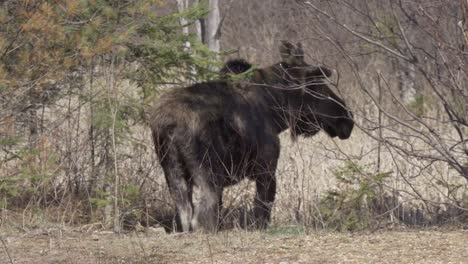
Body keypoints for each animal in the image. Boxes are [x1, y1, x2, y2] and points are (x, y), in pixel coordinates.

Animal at [148, 40, 352, 232]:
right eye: (316, 86)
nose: (347, 118)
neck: (275, 108)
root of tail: (169, 125)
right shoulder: (266, 169)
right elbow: (262, 212)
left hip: (174, 174)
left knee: (184, 215)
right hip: (207, 175)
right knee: (201, 219)